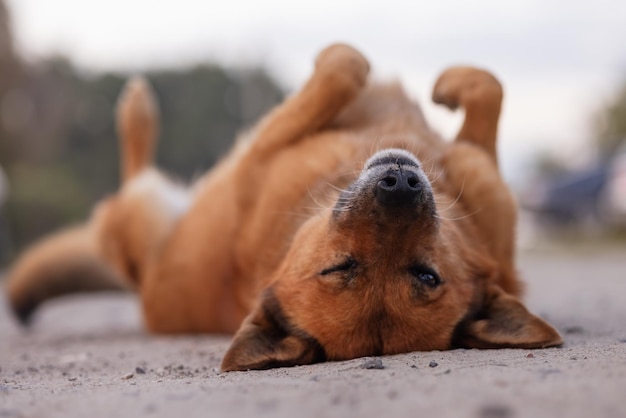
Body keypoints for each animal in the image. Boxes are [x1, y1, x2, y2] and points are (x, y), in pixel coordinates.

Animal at [4, 44, 560, 372]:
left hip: (140, 214)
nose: (399, 183)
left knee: (126, 181)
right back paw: (139, 108)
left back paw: (137, 109)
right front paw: (448, 85)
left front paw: (445, 85)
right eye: (339, 267)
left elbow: (350, 66)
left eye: (425, 275)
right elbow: (359, 67)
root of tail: (140, 282)